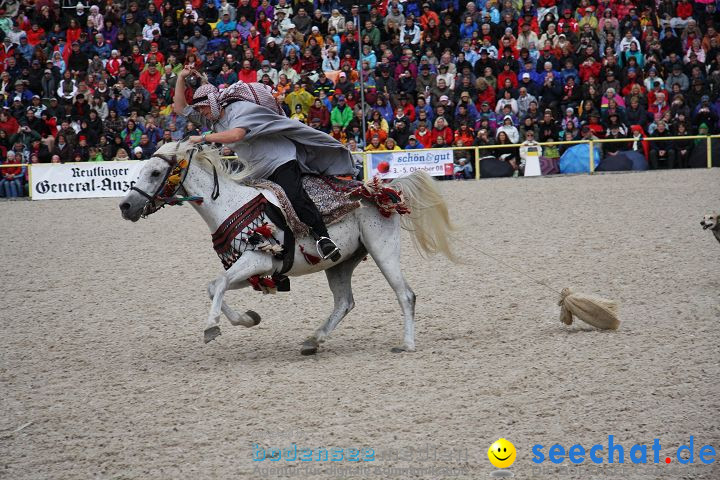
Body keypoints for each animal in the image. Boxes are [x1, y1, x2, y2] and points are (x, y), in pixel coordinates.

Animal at [119, 141, 456, 354]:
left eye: (155, 173)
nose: (125, 206)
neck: (230, 204)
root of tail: (381, 190)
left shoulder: (259, 260)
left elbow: (219, 284)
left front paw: (211, 326)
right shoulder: (253, 272)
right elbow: (214, 286)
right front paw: (247, 319)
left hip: (383, 251)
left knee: (406, 295)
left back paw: (407, 344)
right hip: (340, 263)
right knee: (344, 303)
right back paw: (313, 340)